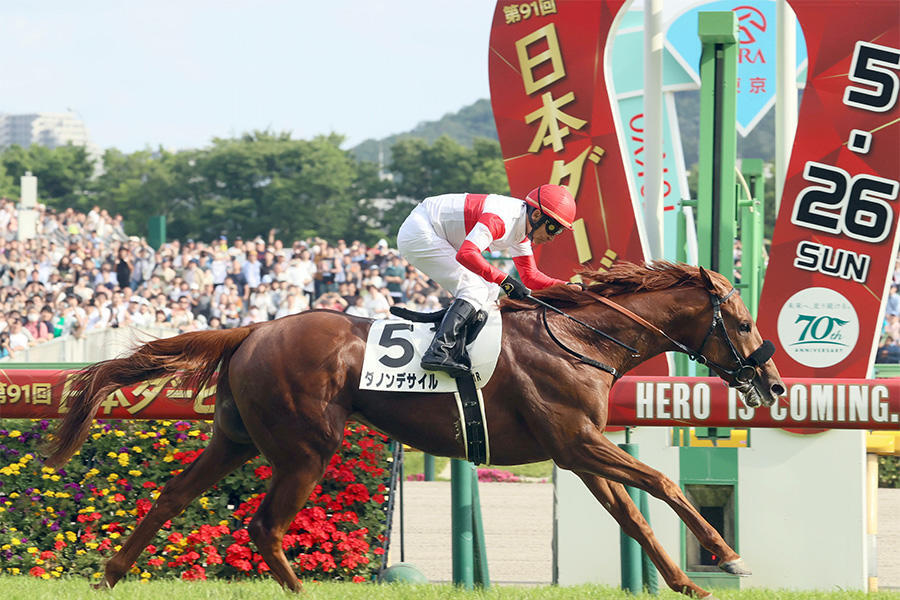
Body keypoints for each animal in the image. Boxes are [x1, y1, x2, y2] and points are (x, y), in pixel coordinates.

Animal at [44, 261, 784, 599]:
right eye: (745, 321)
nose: (774, 384)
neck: (581, 338)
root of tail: (252, 328)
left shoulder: (577, 454)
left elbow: (634, 513)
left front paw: (688, 583)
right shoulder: (578, 441)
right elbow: (663, 481)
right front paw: (730, 558)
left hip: (237, 437)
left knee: (172, 496)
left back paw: (111, 574)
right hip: (306, 448)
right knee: (264, 525)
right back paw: (298, 589)